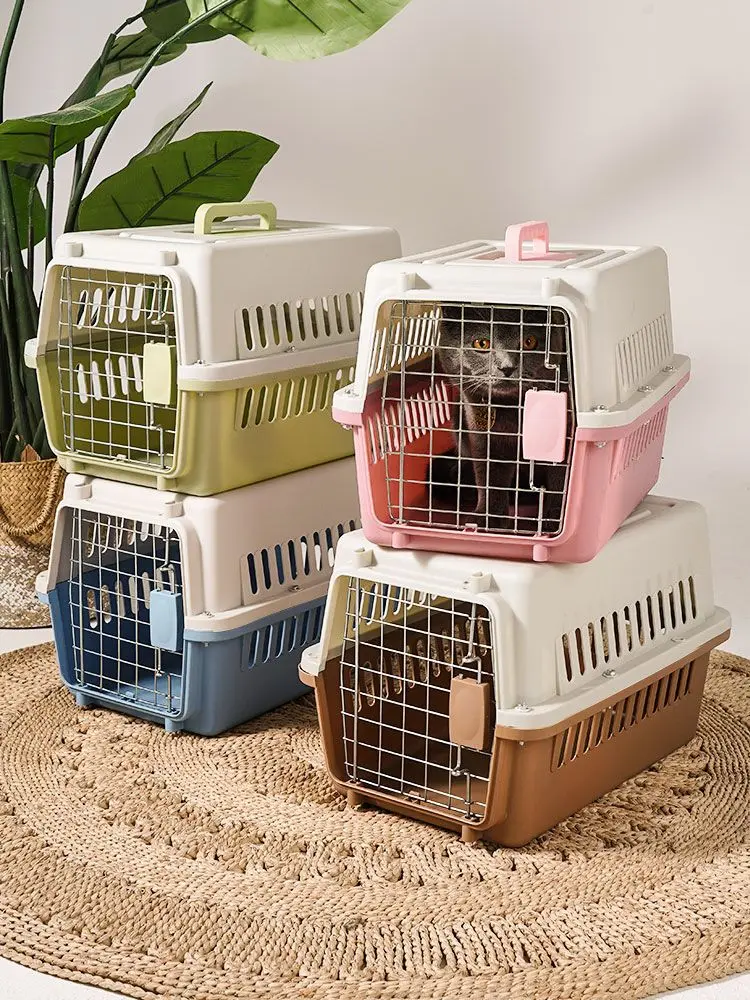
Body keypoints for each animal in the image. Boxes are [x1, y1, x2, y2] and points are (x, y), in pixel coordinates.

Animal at [429, 303, 569, 532]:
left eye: (529, 342)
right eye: (481, 343)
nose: (507, 367)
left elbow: (561, 475)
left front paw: (555, 518)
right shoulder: (483, 435)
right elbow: (489, 475)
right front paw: (487, 519)